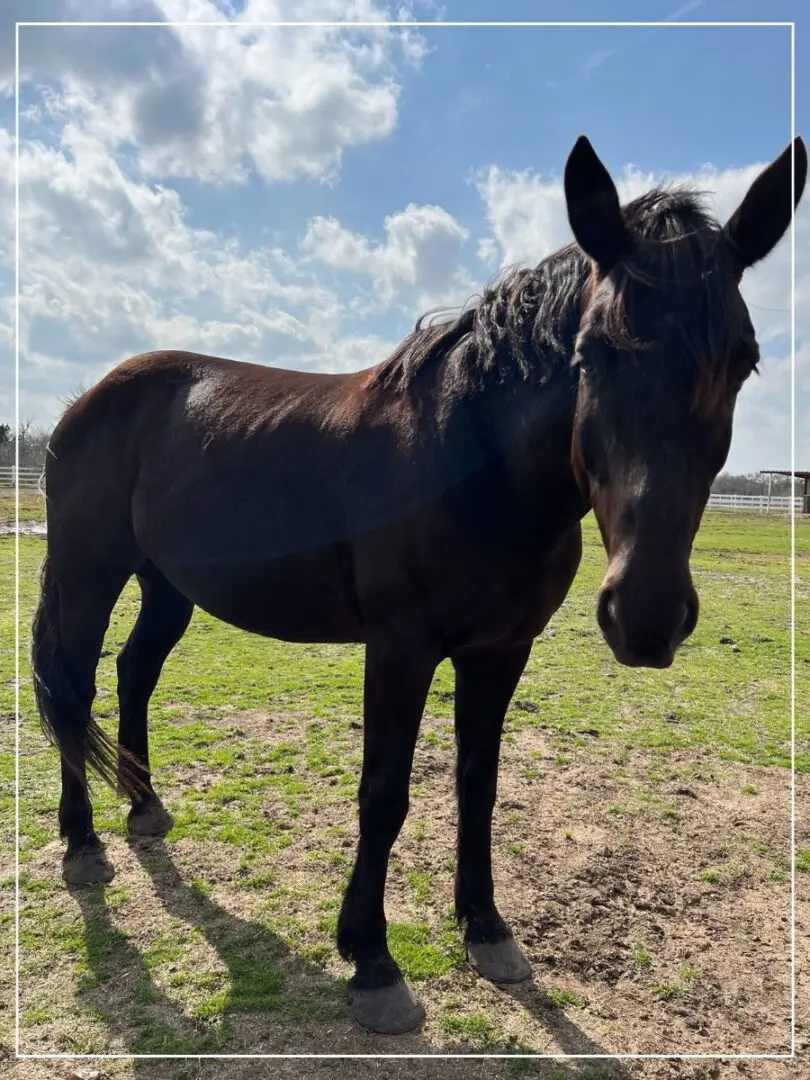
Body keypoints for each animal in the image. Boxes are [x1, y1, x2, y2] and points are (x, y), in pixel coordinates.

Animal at [30, 130, 807, 1032]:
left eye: (744, 361)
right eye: (591, 353)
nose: (645, 614)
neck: (470, 463)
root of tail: (85, 402)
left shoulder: (501, 651)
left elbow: (479, 784)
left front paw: (488, 928)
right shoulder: (400, 649)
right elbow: (385, 793)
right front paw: (372, 961)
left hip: (167, 585)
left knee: (134, 673)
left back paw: (144, 809)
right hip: (89, 571)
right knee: (77, 688)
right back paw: (84, 846)